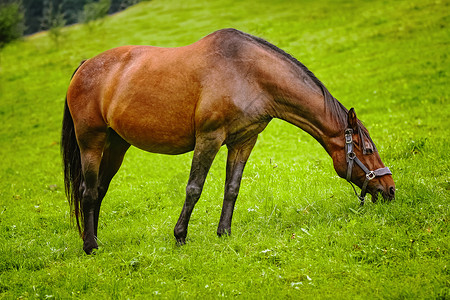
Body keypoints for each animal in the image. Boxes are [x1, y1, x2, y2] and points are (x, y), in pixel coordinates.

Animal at [62, 28, 394, 254]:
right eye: (367, 149)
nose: (390, 189)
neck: (248, 73)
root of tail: (85, 66)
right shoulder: (209, 138)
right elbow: (194, 188)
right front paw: (180, 236)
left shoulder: (244, 141)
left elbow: (232, 188)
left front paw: (224, 232)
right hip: (91, 142)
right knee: (88, 191)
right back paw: (90, 246)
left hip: (116, 145)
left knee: (99, 190)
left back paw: (93, 239)